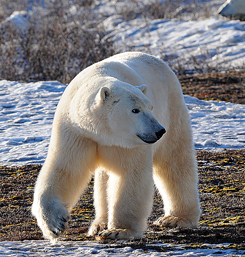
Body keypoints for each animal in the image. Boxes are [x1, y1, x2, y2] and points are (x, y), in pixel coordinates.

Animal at [31, 51, 200, 240]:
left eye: (150, 107)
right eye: (135, 110)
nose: (159, 131)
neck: (101, 132)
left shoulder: (127, 143)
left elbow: (130, 175)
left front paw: (119, 230)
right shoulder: (77, 132)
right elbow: (65, 169)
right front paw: (55, 224)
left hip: (173, 109)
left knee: (174, 162)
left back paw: (176, 218)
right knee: (104, 180)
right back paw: (100, 223)